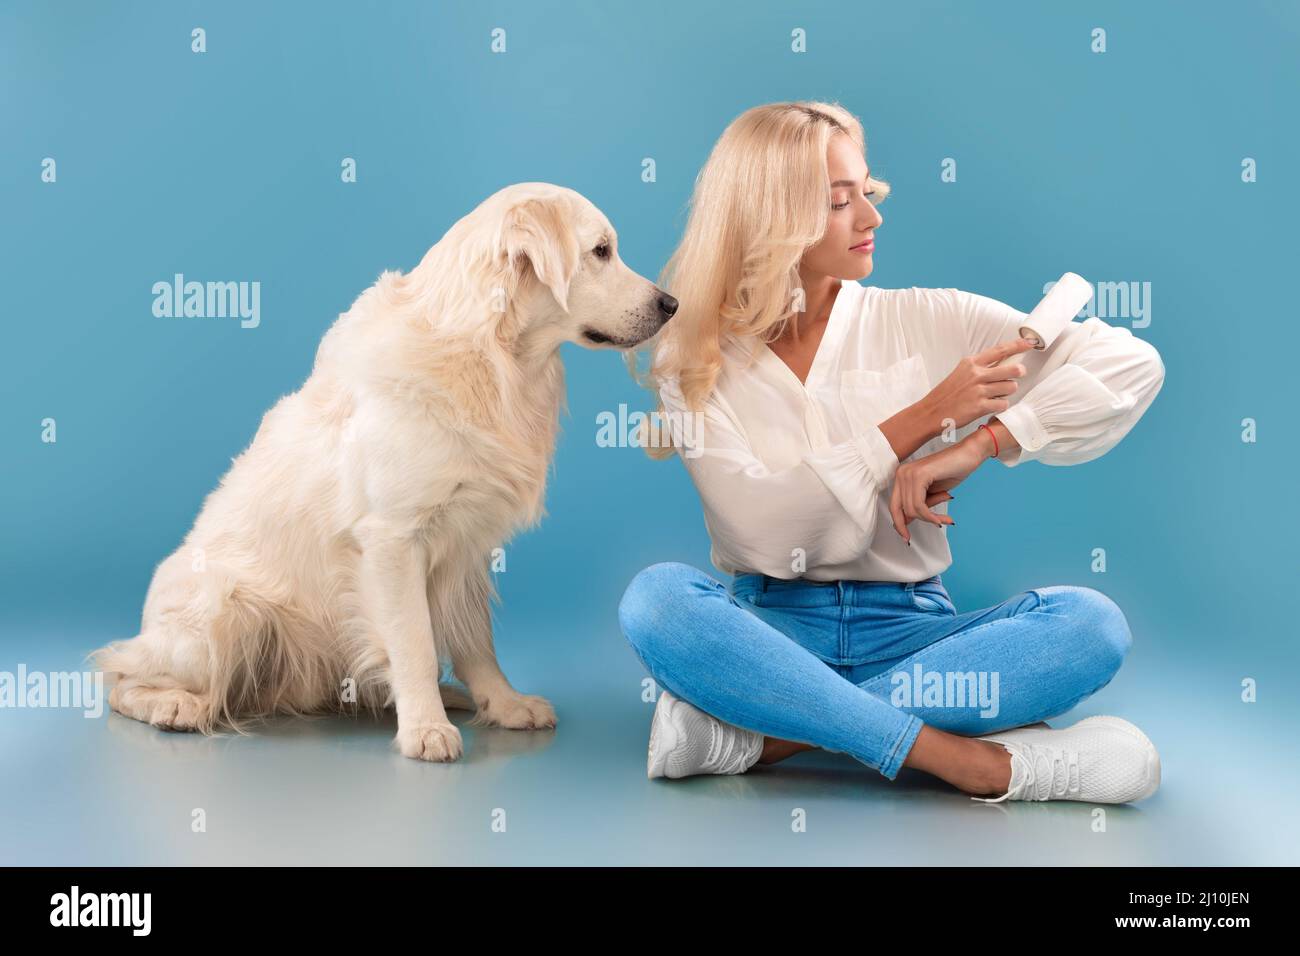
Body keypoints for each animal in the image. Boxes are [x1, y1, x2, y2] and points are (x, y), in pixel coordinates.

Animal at [89, 179, 681, 764]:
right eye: (600, 251)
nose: (672, 304)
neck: (493, 358)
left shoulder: (467, 546)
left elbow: (476, 642)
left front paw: (503, 703)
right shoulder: (393, 540)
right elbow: (414, 641)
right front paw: (425, 728)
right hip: (221, 612)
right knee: (122, 677)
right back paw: (174, 706)